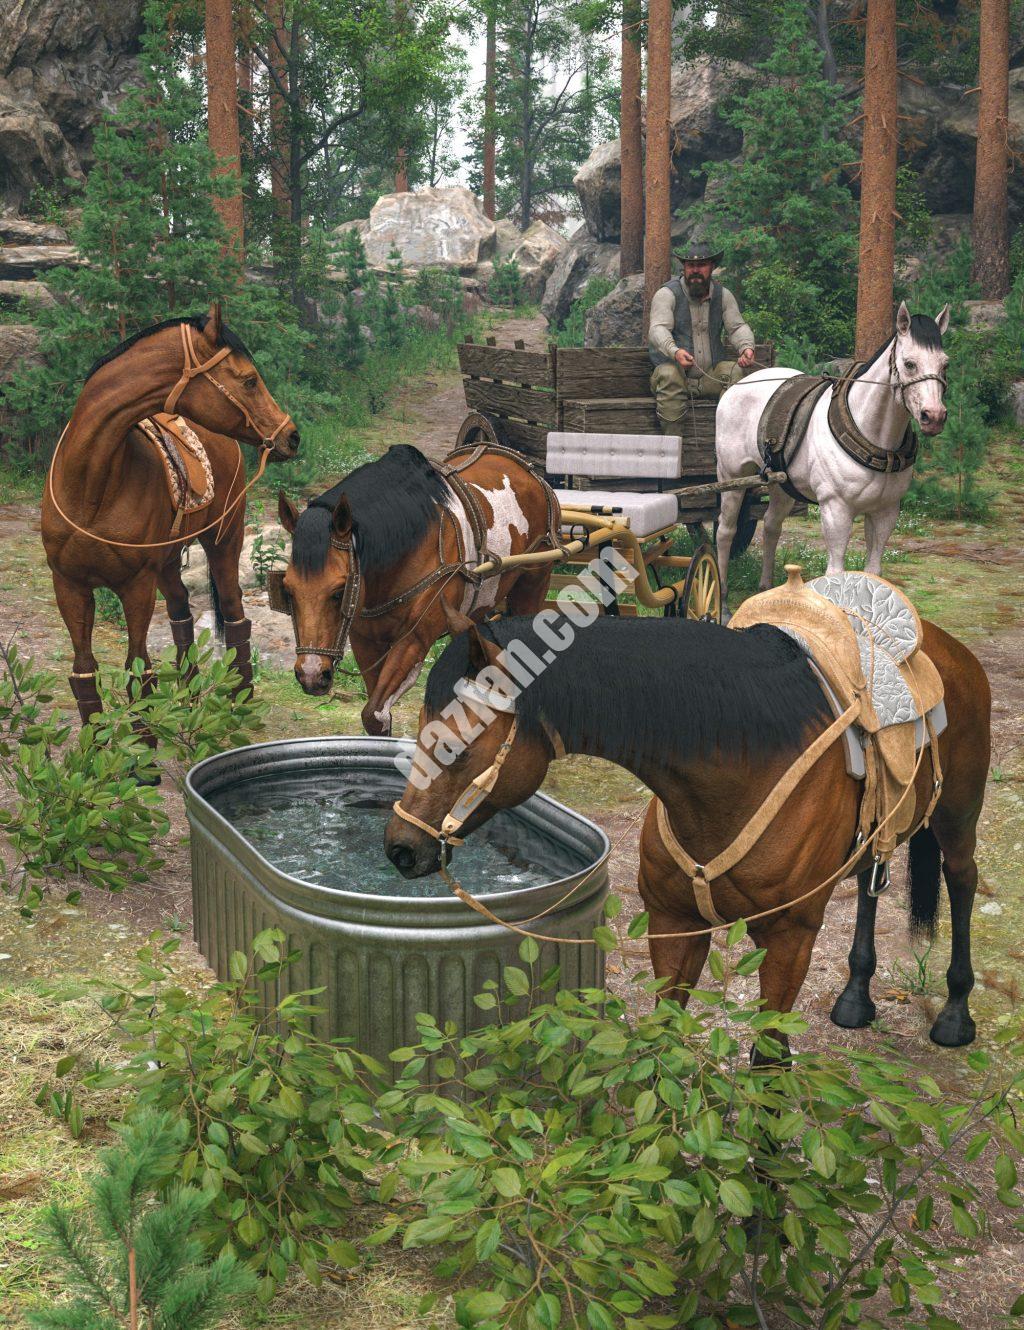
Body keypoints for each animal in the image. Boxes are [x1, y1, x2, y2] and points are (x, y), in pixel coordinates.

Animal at [41, 304, 300, 725]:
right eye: (248, 380)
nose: (291, 436)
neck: (91, 488)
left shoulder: (135, 586)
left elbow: (138, 670)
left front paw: (142, 742)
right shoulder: (69, 585)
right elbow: (84, 674)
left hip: (223, 542)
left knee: (234, 613)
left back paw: (241, 697)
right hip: (165, 563)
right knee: (181, 613)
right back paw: (188, 697)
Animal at [276, 443, 558, 736]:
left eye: (339, 592)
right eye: (288, 591)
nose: (311, 675)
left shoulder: (414, 639)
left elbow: (374, 714)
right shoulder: (365, 641)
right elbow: (377, 716)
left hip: (533, 583)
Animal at [384, 610, 990, 1054]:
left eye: (456, 744)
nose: (400, 849)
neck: (742, 768)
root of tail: (950, 649)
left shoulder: (789, 940)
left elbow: (769, 1060)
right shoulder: (675, 923)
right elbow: (663, 1042)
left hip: (958, 818)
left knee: (961, 882)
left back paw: (956, 1014)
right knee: (870, 881)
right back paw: (856, 996)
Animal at [715, 302, 950, 602]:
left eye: (945, 364)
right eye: (909, 364)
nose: (934, 416)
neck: (875, 437)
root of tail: (736, 385)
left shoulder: (886, 512)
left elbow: (874, 572)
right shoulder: (835, 509)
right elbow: (835, 573)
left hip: (781, 485)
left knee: (770, 526)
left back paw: (766, 586)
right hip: (730, 476)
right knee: (726, 530)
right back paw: (720, 589)